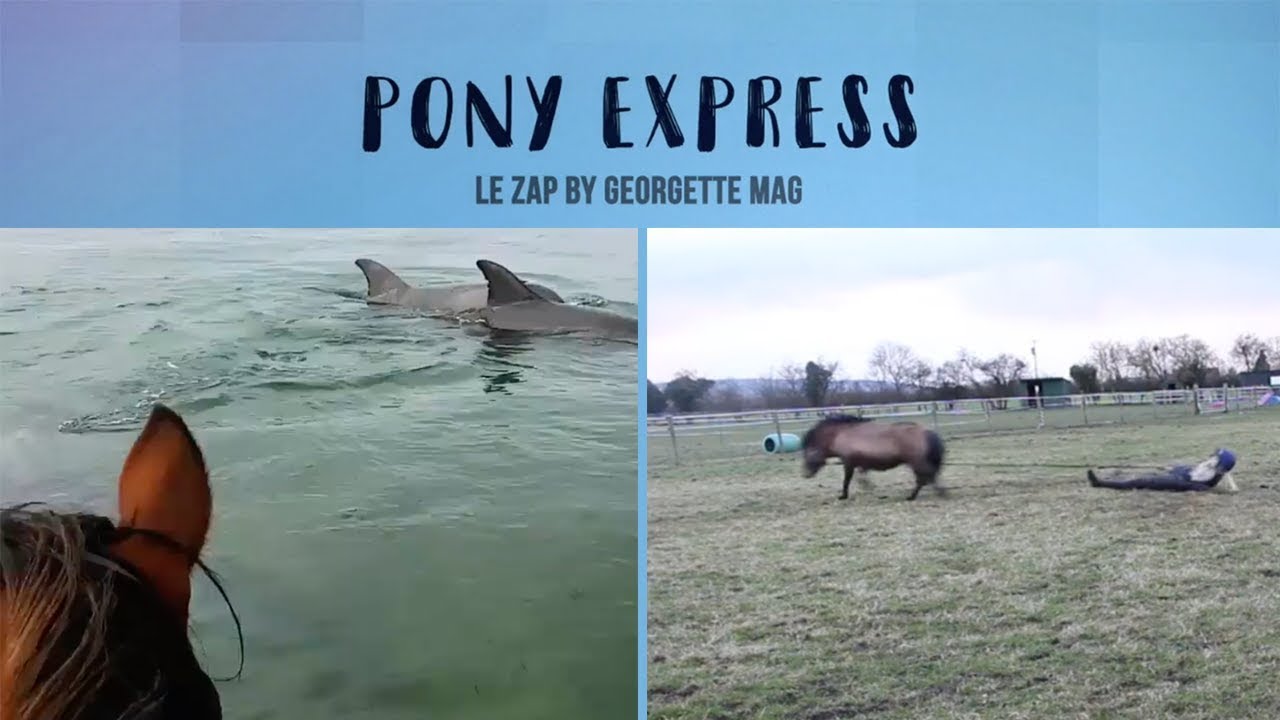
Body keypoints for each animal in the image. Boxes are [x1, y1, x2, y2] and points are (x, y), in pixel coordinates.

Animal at [799, 414, 948, 501]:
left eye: (808, 452)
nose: (805, 474)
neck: (841, 434)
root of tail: (925, 431)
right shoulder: (860, 462)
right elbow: (861, 476)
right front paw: (868, 486)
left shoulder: (848, 462)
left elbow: (847, 480)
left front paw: (843, 495)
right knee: (927, 477)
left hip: (916, 462)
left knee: (925, 478)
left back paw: (917, 496)